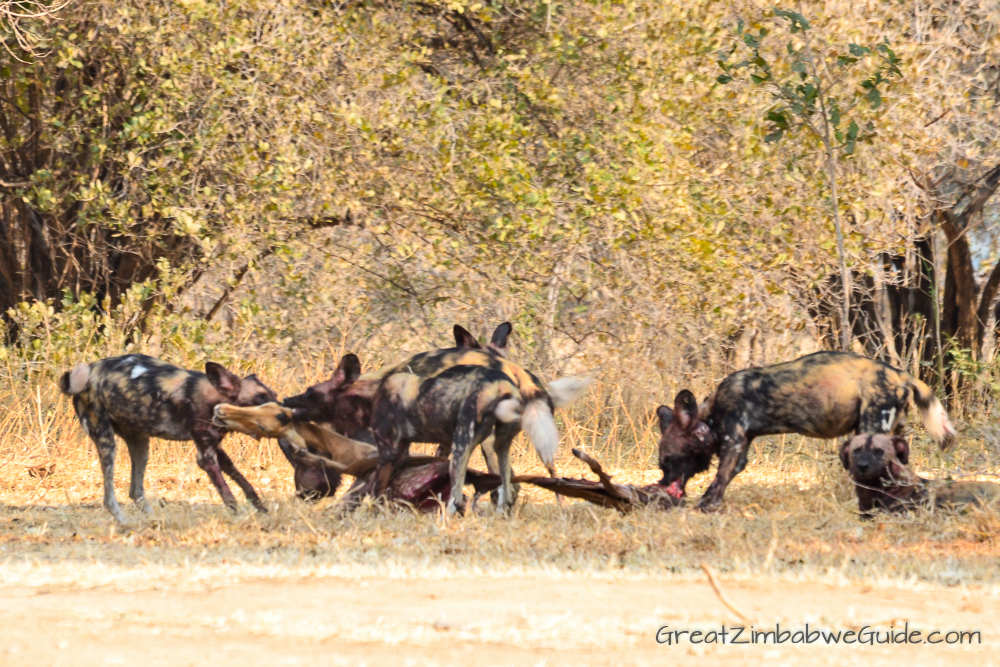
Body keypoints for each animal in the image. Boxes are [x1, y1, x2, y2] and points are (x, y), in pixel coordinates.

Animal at [60, 354, 276, 520]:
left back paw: (154, 519)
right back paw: (126, 523)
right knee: (109, 498)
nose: (281, 409)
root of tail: (88, 371)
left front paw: (262, 510)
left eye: (273, 395)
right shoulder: (206, 457)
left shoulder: (216, 449)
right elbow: (228, 494)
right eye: (261, 398)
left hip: (140, 444)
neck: (215, 400)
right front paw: (241, 517)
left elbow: (245, 483)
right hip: (107, 442)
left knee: (135, 492)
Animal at [660, 352, 956, 516]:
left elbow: (719, 479)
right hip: (890, 432)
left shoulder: (733, 443)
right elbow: (726, 477)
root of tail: (901, 376)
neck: (710, 414)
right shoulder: (740, 448)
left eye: (667, 460)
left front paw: (706, 506)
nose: (663, 484)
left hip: (871, 428)